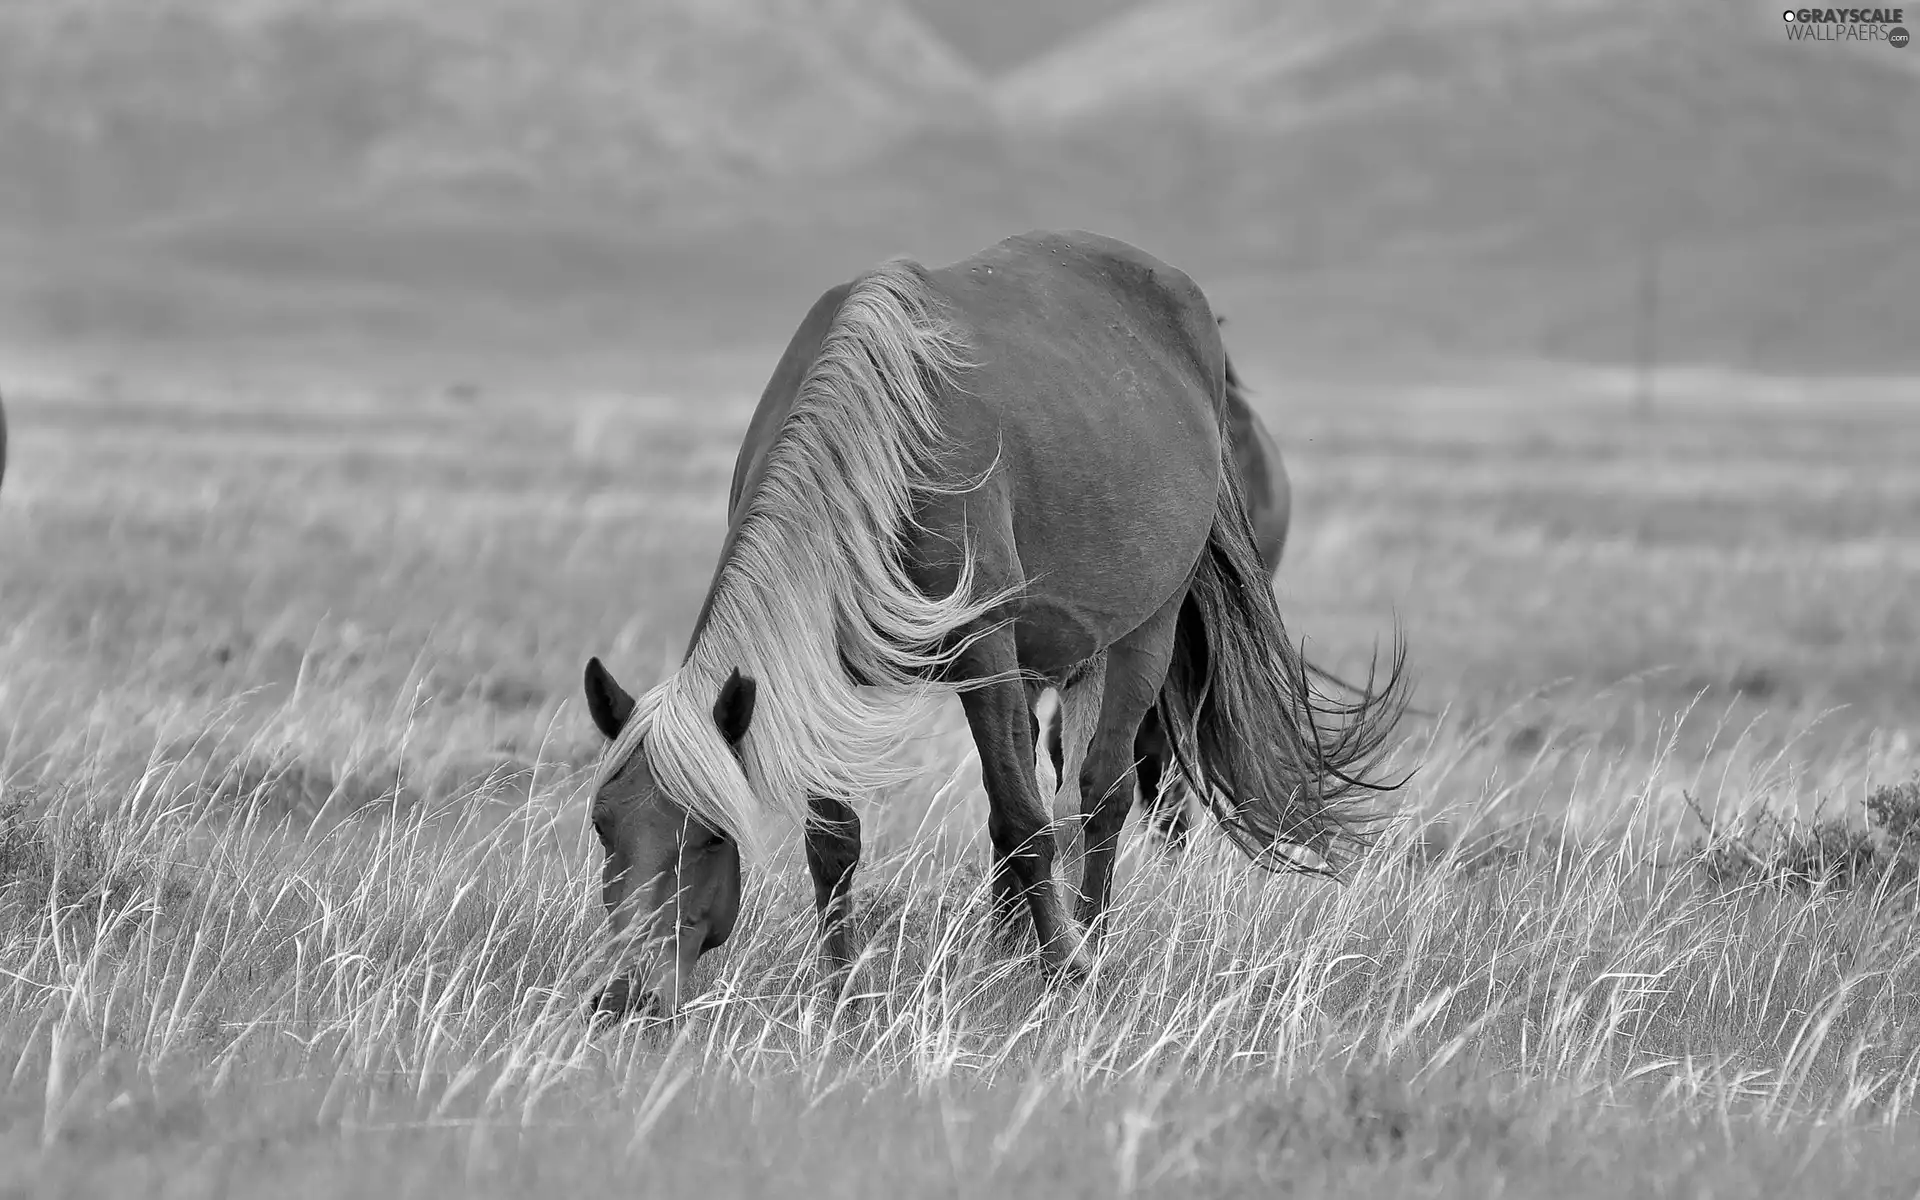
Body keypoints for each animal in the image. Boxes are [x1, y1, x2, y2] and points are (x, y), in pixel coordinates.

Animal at [576, 231, 1405, 1021]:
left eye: (712, 834)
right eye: (603, 827)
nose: (625, 996)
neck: (877, 452)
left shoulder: (985, 652)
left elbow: (1024, 814)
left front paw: (1065, 975)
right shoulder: (826, 678)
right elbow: (834, 838)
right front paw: (842, 992)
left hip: (1143, 633)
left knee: (1100, 795)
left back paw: (1087, 942)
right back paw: (1009, 947)